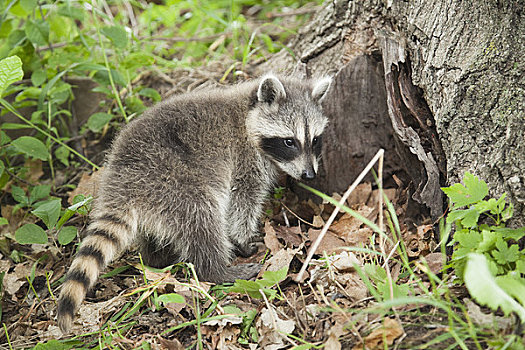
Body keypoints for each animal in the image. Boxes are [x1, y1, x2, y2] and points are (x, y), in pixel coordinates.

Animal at [56, 73, 328, 330]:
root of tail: (123, 181)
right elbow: (242, 201)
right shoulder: (244, 159)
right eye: (289, 141)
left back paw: (157, 258)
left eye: (314, 140)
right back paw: (217, 270)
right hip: (173, 181)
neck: (247, 113)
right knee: (202, 218)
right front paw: (243, 239)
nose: (309, 175)